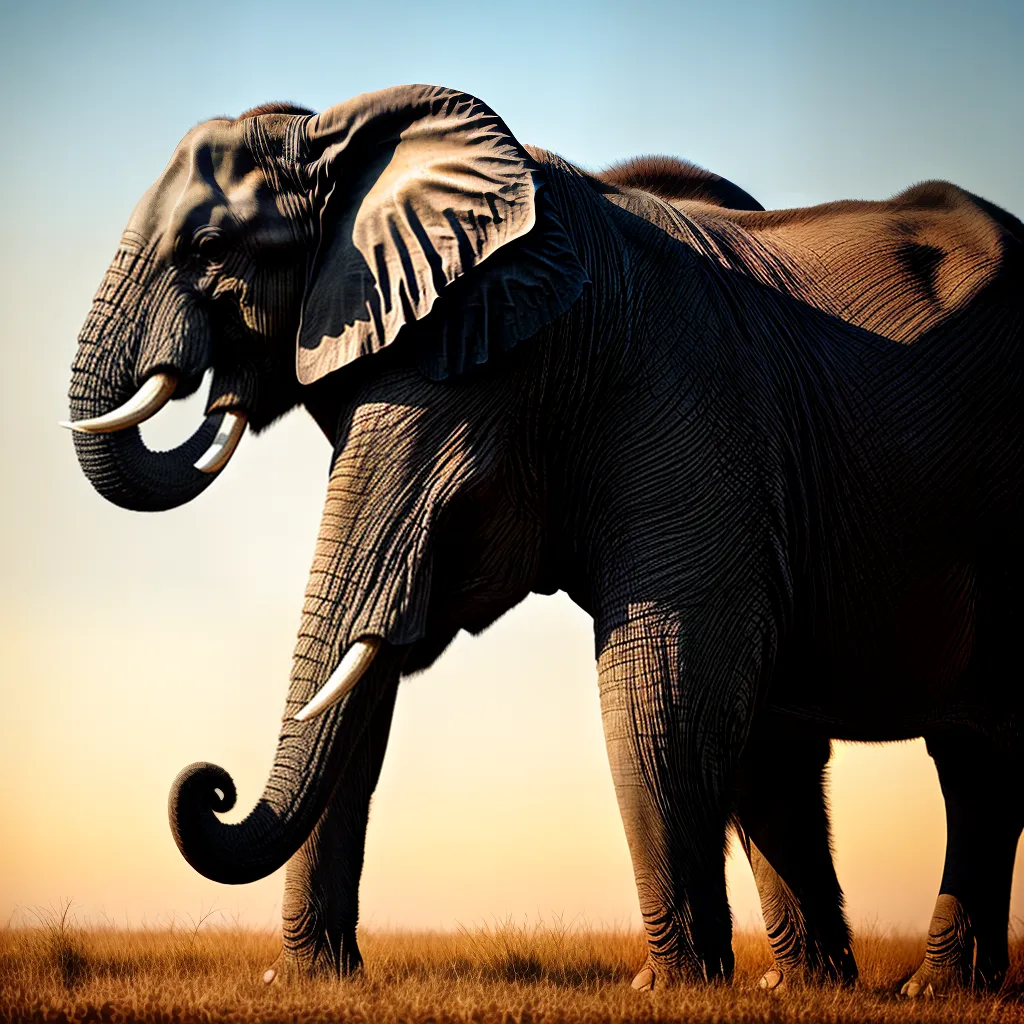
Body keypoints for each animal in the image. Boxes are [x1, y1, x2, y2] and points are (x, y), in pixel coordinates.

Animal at [66, 85, 1022, 993]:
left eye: (207, 247)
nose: (210, 785)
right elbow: (366, 688)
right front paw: (302, 981)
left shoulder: (677, 396)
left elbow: (665, 677)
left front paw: (669, 989)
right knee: (944, 757)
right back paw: (869, 986)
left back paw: (922, 990)